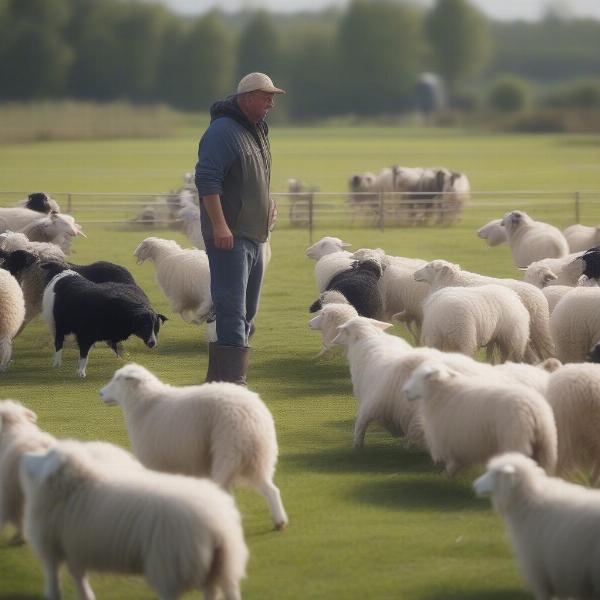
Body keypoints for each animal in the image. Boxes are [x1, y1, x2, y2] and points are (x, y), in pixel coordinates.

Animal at [19, 438, 247, 600]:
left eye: (47, 456)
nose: (25, 456)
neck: (76, 487)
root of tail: (217, 526)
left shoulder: (52, 544)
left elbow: (54, 576)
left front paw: (52, 595)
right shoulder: (74, 546)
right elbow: (78, 576)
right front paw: (86, 596)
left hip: (167, 566)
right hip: (221, 566)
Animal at [101, 360, 288, 528]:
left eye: (117, 378)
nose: (100, 393)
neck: (146, 404)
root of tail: (252, 416)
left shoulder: (155, 461)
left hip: (229, 451)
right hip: (257, 458)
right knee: (271, 490)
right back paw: (279, 521)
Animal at [404, 360, 556, 478]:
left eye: (426, 375)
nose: (405, 391)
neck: (445, 391)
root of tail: (533, 410)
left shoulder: (453, 438)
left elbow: (453, 462)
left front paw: (448, 474)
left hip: (516, 441)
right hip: (544, 447)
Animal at [414, 260, 556, 364]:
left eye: (429, 266)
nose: (414, 274)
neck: (449, 281)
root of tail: (538, 292)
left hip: (538, 328)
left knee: (548, 350)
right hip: (524, 333)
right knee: (532, 357)